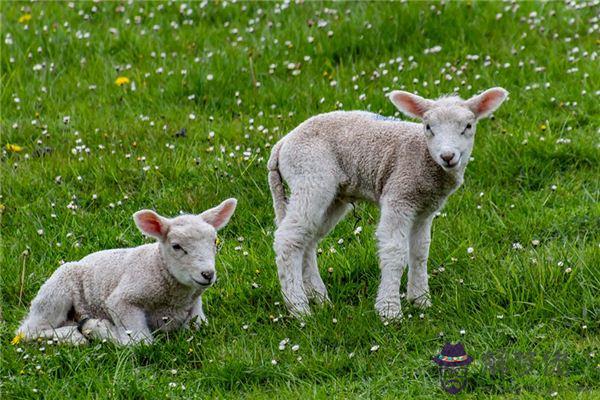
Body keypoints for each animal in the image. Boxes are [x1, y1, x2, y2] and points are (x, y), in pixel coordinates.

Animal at [17, 198, 237, 346]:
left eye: (215, 241)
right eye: (176, 246)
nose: (207, 274)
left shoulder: (195, 313)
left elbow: (198, 327)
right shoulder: (122, 300)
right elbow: (140, 342)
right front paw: (99, 329)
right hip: (57, 290)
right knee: (29, 330)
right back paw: (77, 335)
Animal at [270, 87, 508, 318]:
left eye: (468, 126)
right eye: (428, 127)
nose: (448, 156)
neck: (423, 156)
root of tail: (282, 144)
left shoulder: (425, 209)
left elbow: (420, 252)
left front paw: (421, 301)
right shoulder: (399, 196)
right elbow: (395, 252)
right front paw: (389, 310)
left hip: (333, 196)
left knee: (307, 240)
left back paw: (321, 300)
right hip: (310, 177)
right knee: (288, 239)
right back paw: (299, 309)